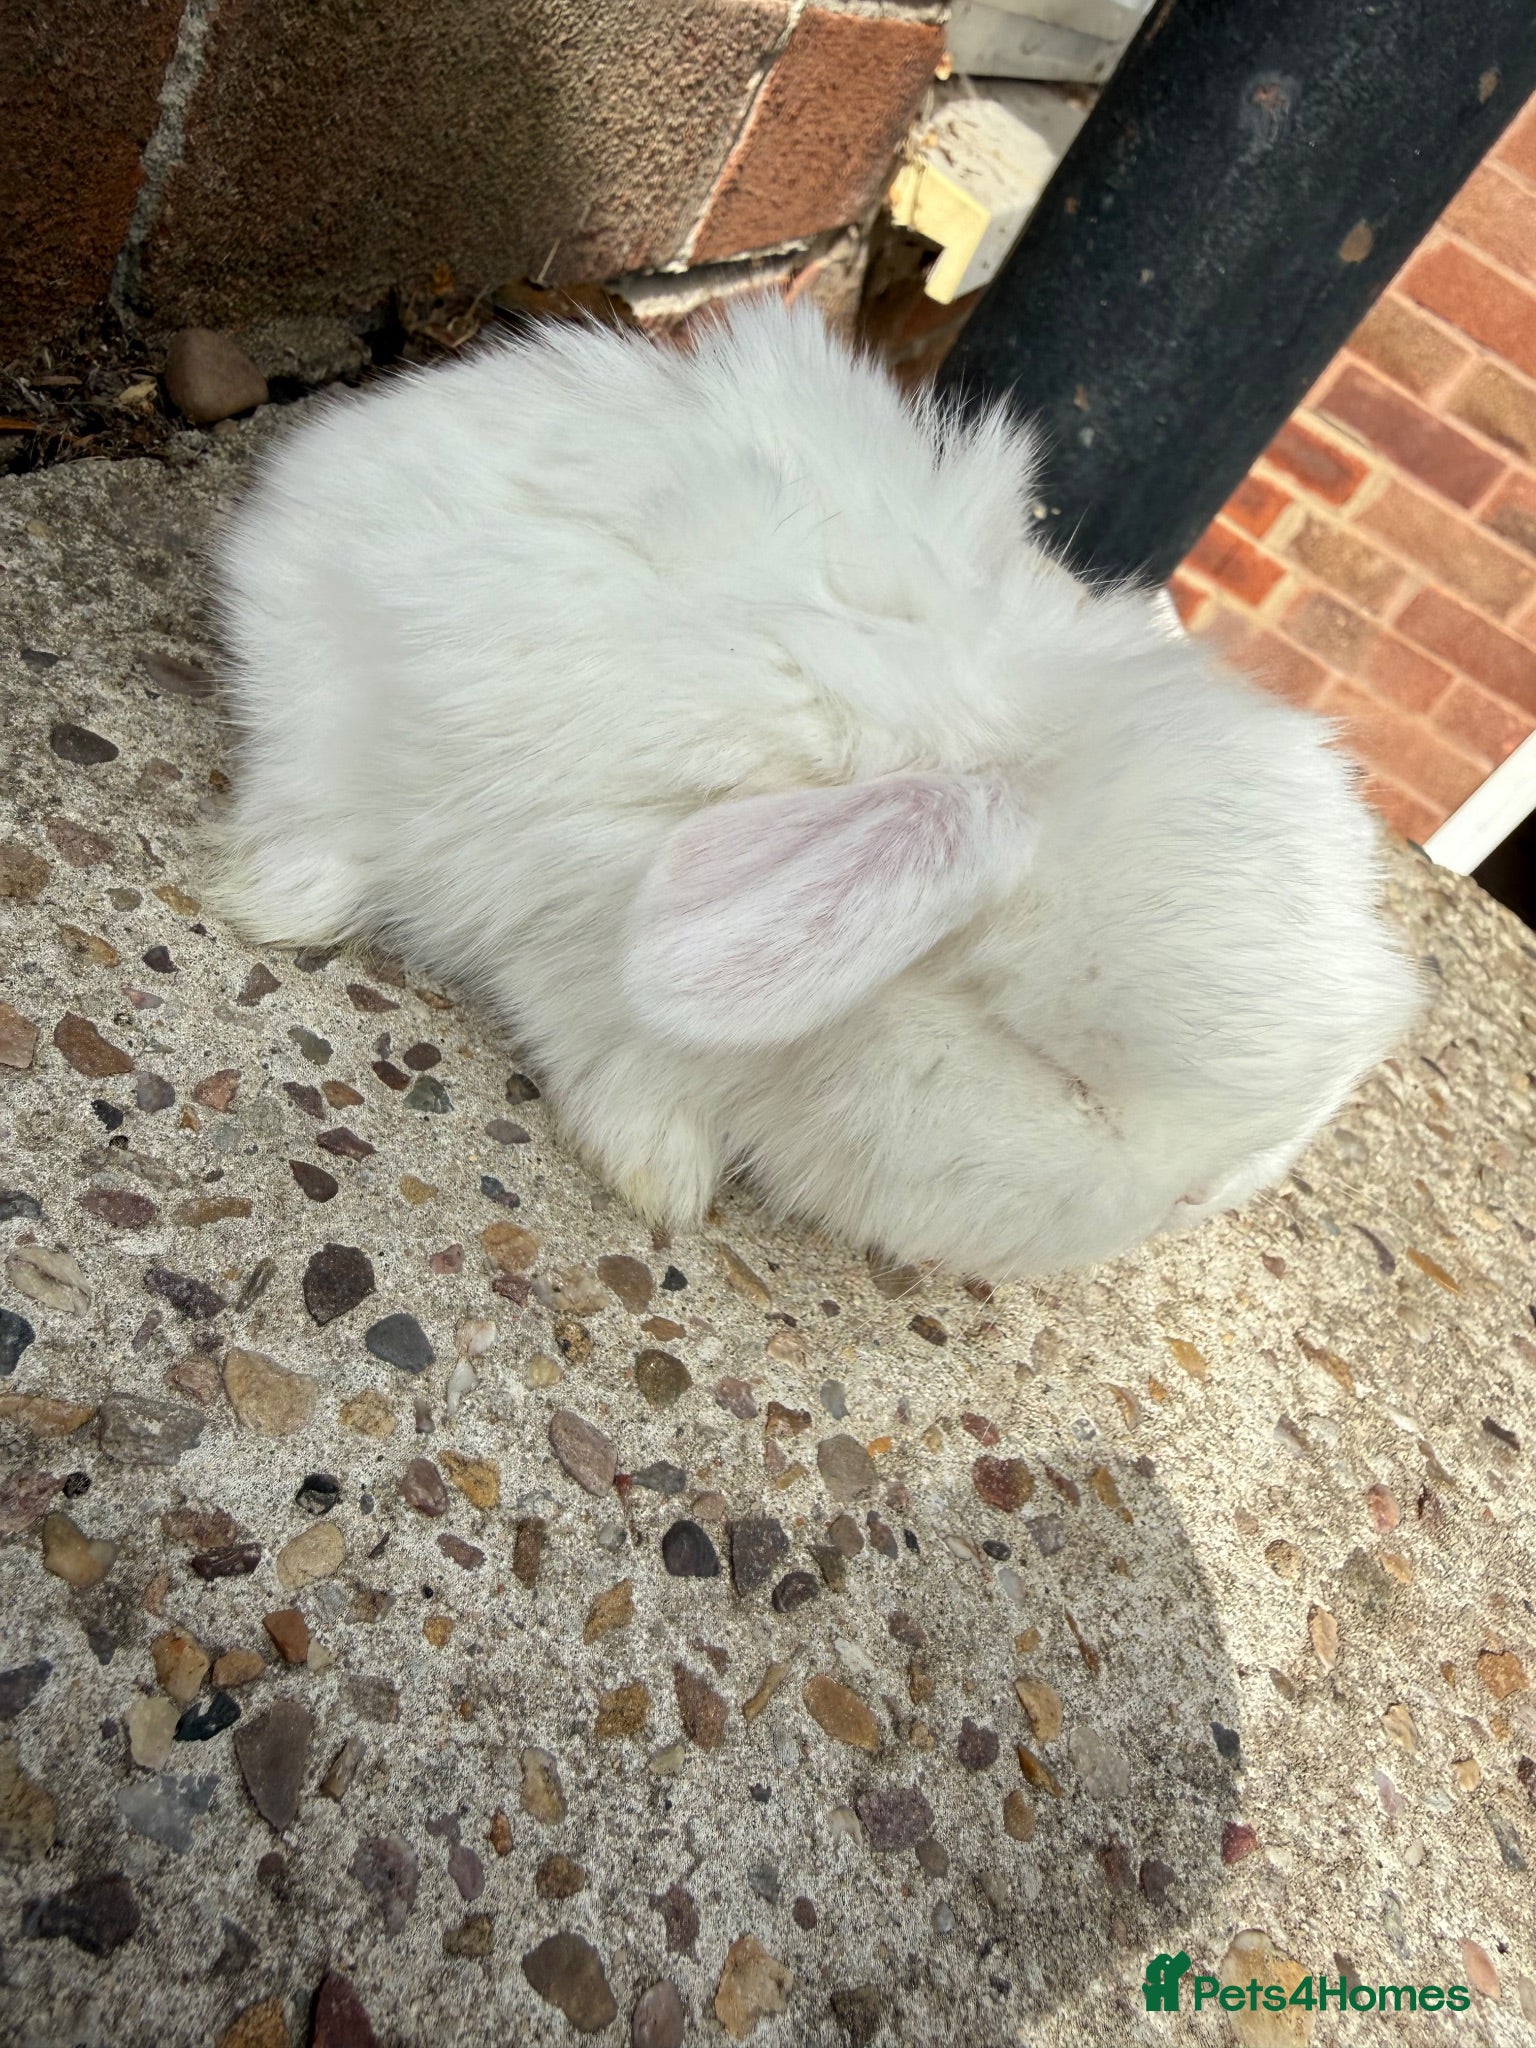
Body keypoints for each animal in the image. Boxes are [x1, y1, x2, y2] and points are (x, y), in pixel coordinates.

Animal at [210, 295, 1422, 1282]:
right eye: (1052, 1065)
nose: (1201, 1195)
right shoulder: (579, 947)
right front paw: (660, 1179)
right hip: (321, 682)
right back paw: (272, 899)